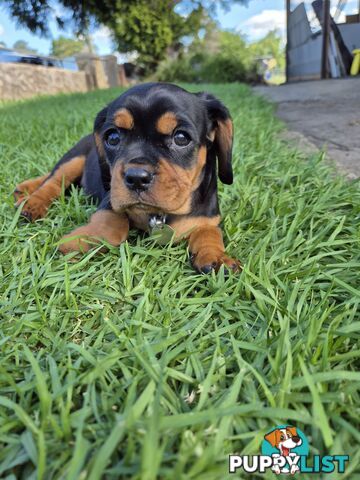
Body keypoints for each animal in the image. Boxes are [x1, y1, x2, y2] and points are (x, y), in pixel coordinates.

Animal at [14, 82, 239, 274]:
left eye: (181, 138)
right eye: (113, 137)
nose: (137, 178)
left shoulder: (207, 219)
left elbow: (209, 232)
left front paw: (216, 257)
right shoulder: (111, 199)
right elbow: (113, 224)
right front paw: (79, 240)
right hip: (74, 158)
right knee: (53, 181)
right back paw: (31, 201)